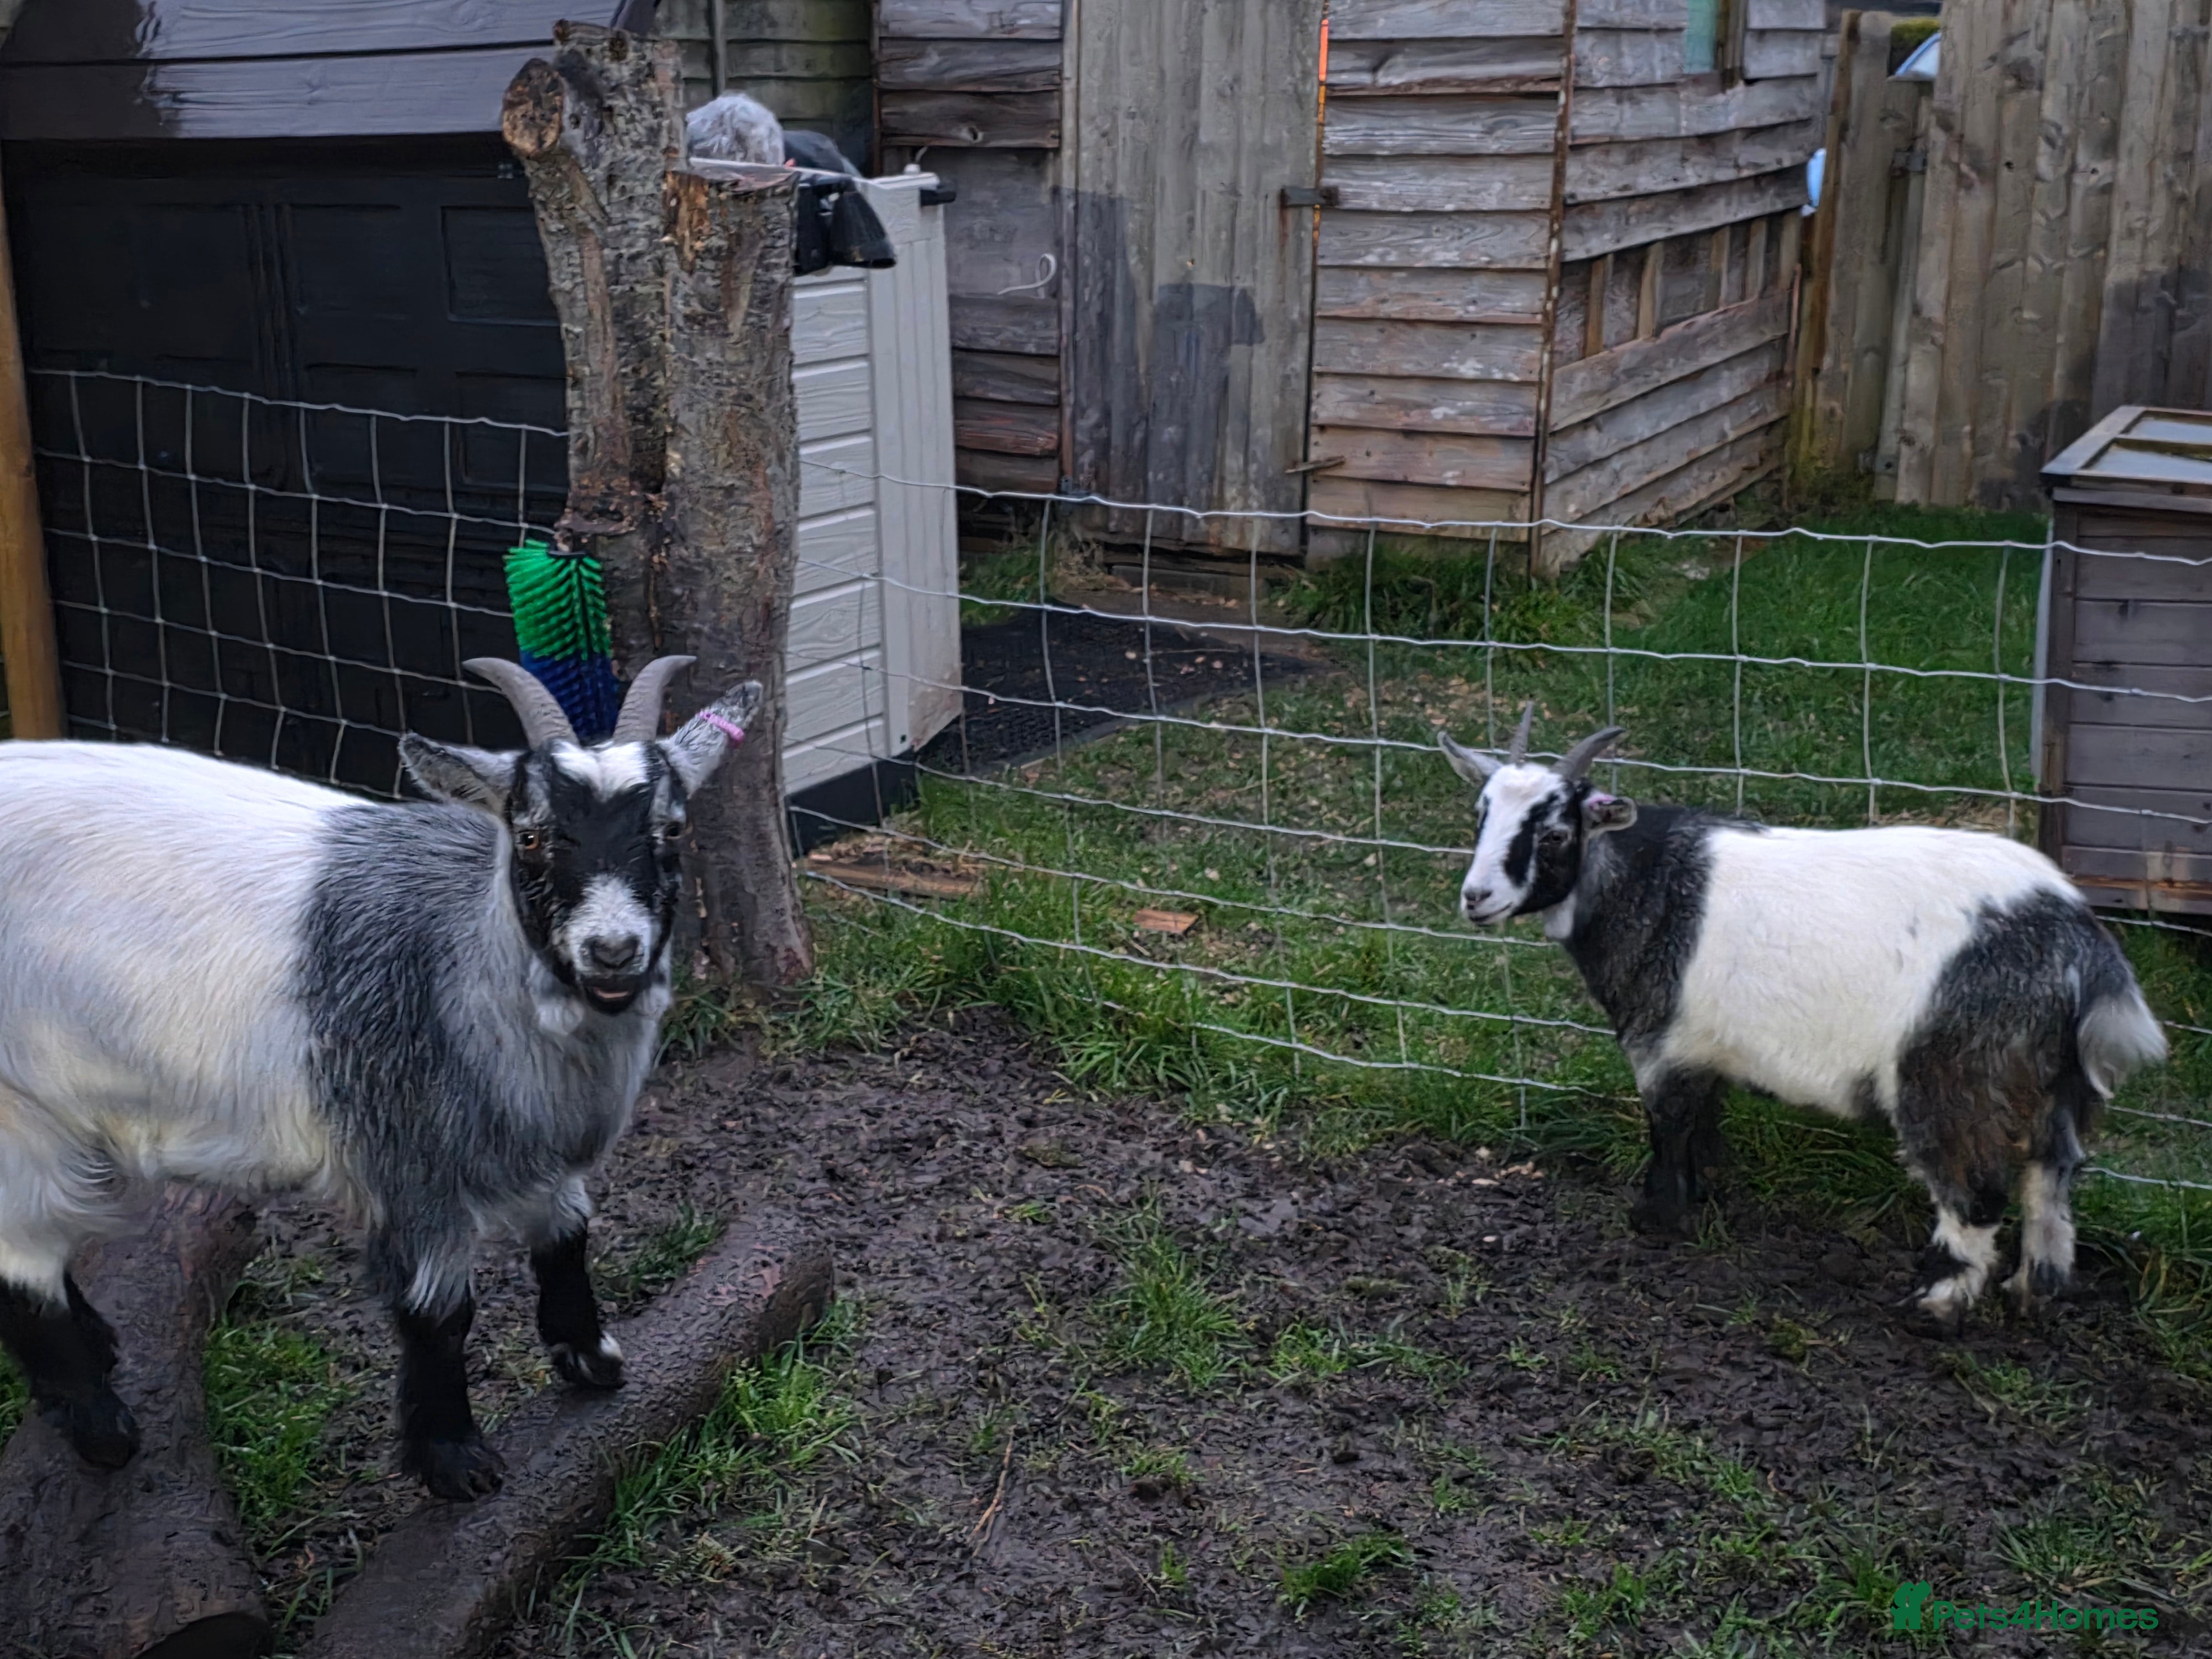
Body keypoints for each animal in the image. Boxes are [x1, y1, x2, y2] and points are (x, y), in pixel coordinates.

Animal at [0, 658, 760, 1498]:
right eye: (528, 835)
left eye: (673, 828)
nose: (614, 951)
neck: (460, 957)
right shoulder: (408, 1149)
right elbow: (439, 1310)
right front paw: (454, 1460)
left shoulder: (534, 1139)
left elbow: (567, 1238)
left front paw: (593, 1360)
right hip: (18, 1104)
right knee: (22, 1261)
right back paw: (102, 1430)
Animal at [1438, 706, 2167, 1332]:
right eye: (1480, 817)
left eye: (1555, 833)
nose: (1477, 898)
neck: (1646, 885)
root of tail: (2078, 942)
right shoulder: (1704, 1049)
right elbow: (1705, 1125)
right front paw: (1709, 1196)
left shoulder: (1659, 1043)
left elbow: (1668, 1127)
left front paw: (1657, 1218)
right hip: (2051, 1076)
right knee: (2052, 1173)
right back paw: (2033, 1293)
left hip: (1954, 1072)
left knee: (1976, 1191)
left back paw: (1934, 1305)